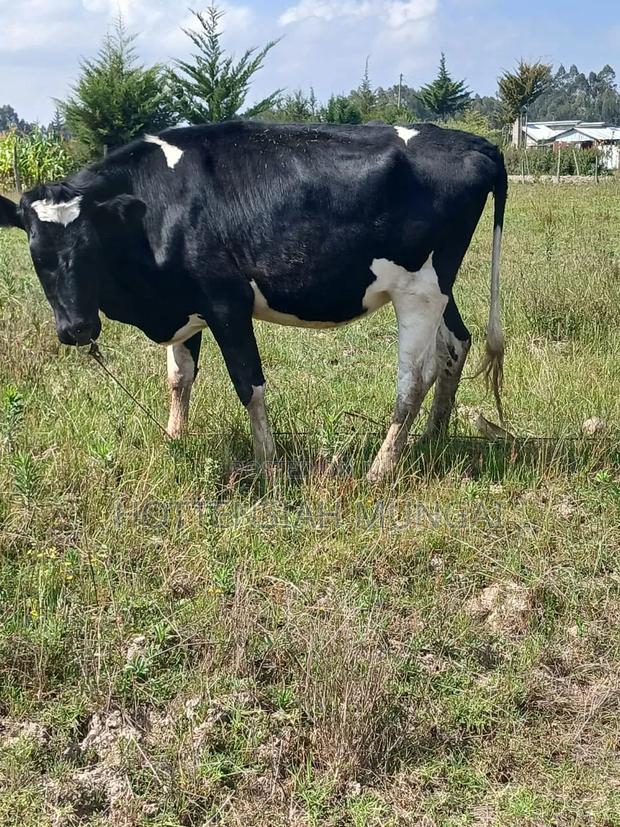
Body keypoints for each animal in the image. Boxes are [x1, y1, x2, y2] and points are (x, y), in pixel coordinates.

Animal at [0, 121, 507, 481]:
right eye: (37, 255)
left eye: (89, 247)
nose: (77, 329)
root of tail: (473, 142)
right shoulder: (184, 305)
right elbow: (179, 378)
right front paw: (174, 440)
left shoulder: (227, 302)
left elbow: (249, 384)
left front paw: (268, 466)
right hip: (438, 285)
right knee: (455, 346)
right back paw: (431, 439)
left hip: (418, 290)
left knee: (414, 378)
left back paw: (380, 469)